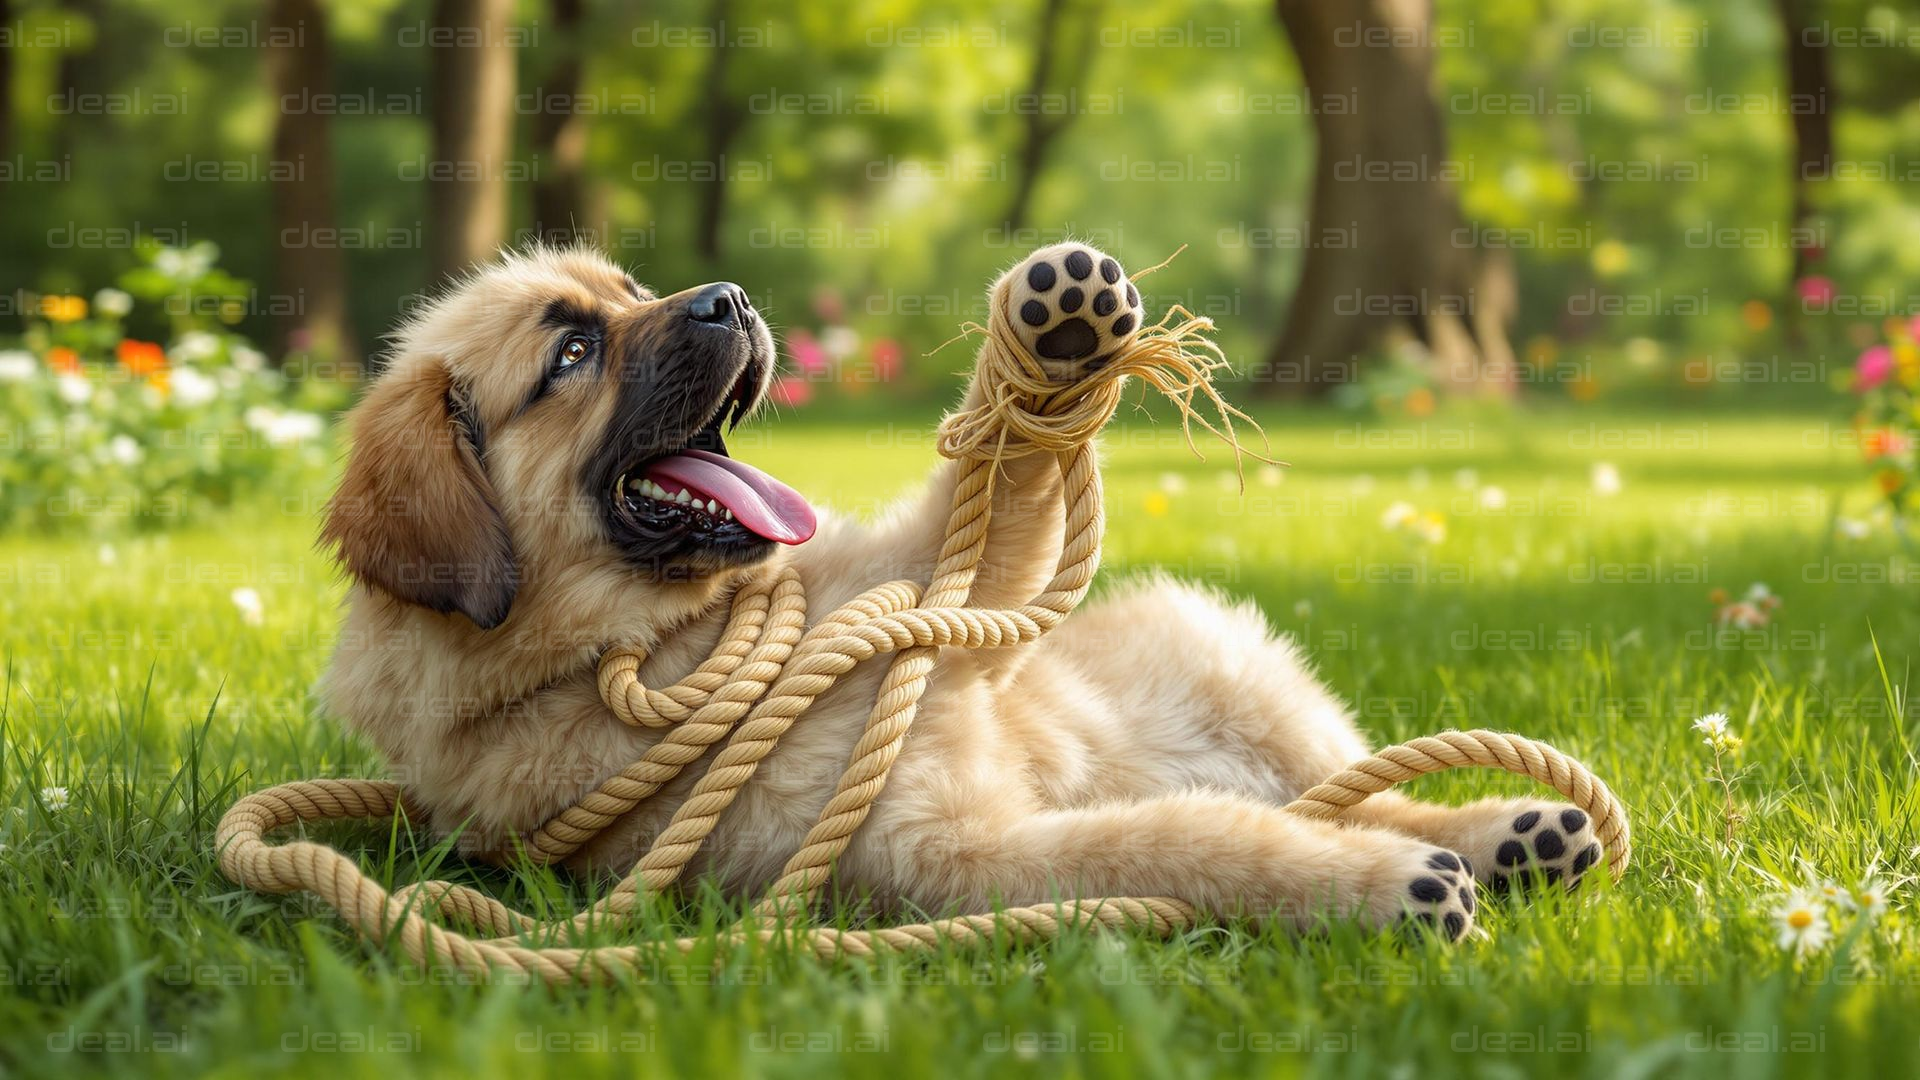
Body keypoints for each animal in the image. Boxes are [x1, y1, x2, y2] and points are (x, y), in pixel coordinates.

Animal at [318, 244, 1605, 933]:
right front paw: (1365, 889)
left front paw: (1057, 330)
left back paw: (1515, 829)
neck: (672, 645)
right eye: (573, 352)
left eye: (631, 287)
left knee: (1350, 783)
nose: (732, 300)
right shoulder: (947, 855)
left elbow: (998, 488)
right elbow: (1190, 841)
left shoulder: (929, 584)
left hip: (1234, 668)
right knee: (1314, 804)